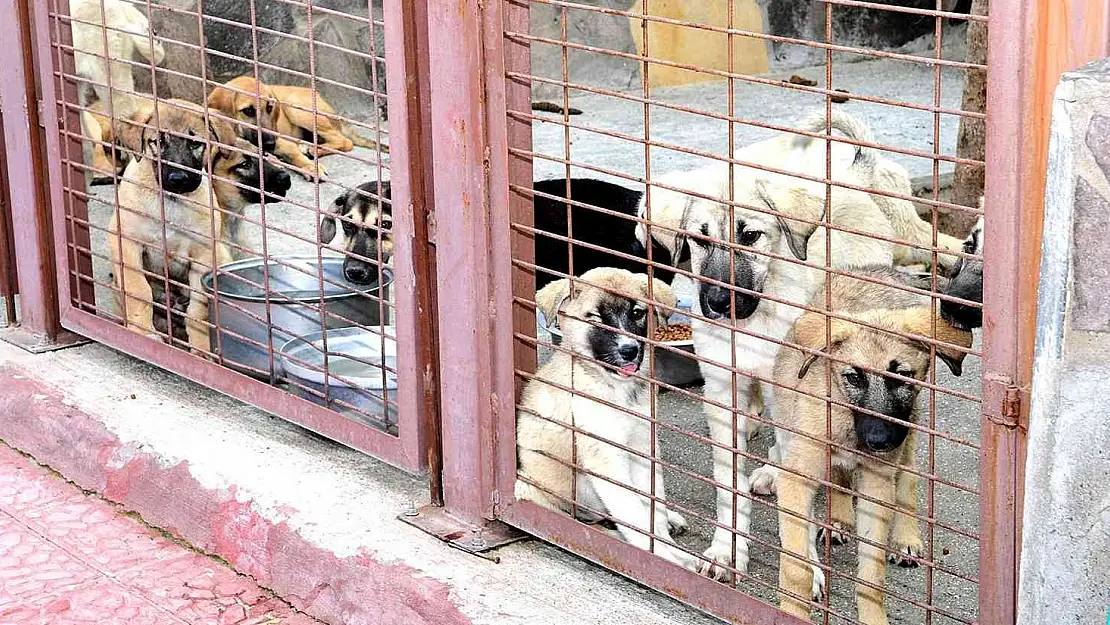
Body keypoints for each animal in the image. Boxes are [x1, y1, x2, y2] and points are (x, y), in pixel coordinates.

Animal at [110, 97, 238, 353]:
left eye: (195, 143)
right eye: (159, 142)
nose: (178, 179)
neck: (171, 203)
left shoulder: (203, 254)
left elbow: (198, 310)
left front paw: (201, 351)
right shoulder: (125, 240)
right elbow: (139, 290)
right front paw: (142, 334)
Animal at [206, 76, 388, 182]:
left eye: (270, 107)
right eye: (248, 111)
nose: (271, 144)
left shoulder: (283, 143)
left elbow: (296, 157)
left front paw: (312, 168)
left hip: (296, 108)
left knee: (344, 141)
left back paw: (312, 150)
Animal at [512, 266, 692, 568]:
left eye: (637, 313)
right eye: (595, 317)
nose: (630, 350)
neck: (615, 390)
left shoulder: (643, 448)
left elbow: (652, 506)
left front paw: (665, 544)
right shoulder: (606, 459)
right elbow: (633, 513)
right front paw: (663, 558)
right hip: (533, 490)